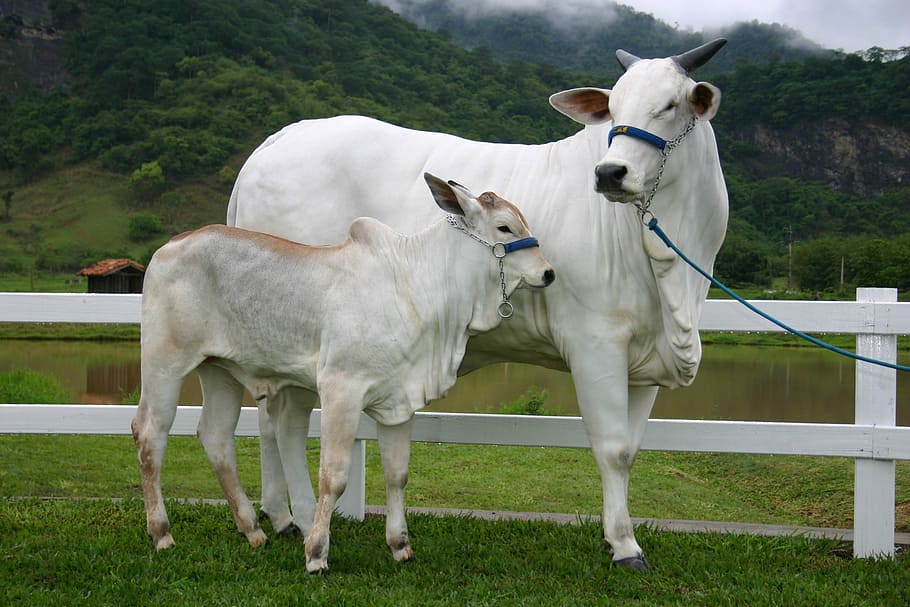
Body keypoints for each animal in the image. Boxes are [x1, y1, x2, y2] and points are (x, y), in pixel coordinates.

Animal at [131, 174, 555, 575]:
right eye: (504, 227)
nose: (549, 273)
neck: (416, 286)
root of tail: (169, 247)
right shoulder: (340, 388)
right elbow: (333, 475)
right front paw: (316, 554)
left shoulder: (400, 399)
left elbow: (397, 473)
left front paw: (400, 546)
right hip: (164, 363)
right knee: (150, 433)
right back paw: (162, 533)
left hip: (220, 370)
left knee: (216, 437)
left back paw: (252, 530)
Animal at [228, 39, 729, 570]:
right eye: (611, 107)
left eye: (671, 105)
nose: (610, 172)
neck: (673, 278)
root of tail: (278, 140)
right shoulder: (595, 343)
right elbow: (612, 449)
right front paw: (626, 546)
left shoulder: (645, 358)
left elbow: (632, 450)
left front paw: (616, 537)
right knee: (287, 424)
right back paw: (304, 521)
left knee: (268, 422)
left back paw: (281, 517)